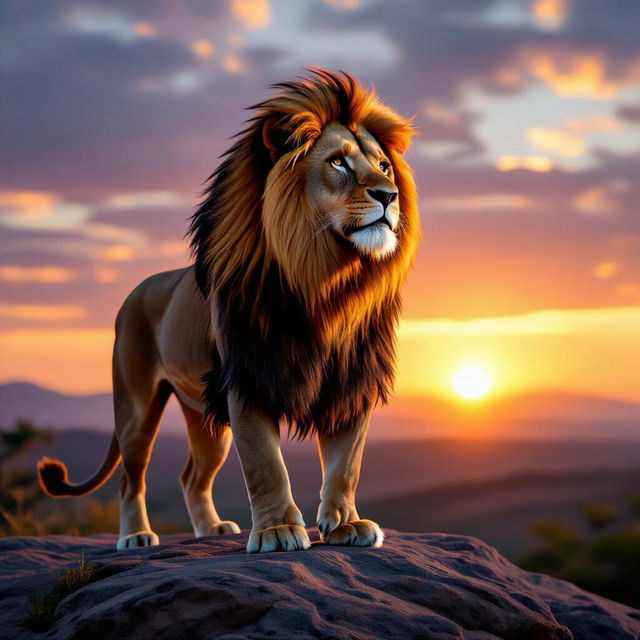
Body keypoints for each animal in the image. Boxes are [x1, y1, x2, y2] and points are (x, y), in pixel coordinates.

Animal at [37, 69, 420, 553]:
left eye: (384, 166)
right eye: (338, 163)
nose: (389, 195)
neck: (328, 285)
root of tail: (136, 291)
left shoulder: (350, 383)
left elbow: (346, 466)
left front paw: (346, 524)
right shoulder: (247, 379)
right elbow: (264, 465)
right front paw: (277, 531)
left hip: (205, 418)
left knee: (192, 477)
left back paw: (212, 529)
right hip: (137, 408)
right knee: (130, 478)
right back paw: (137, 536)